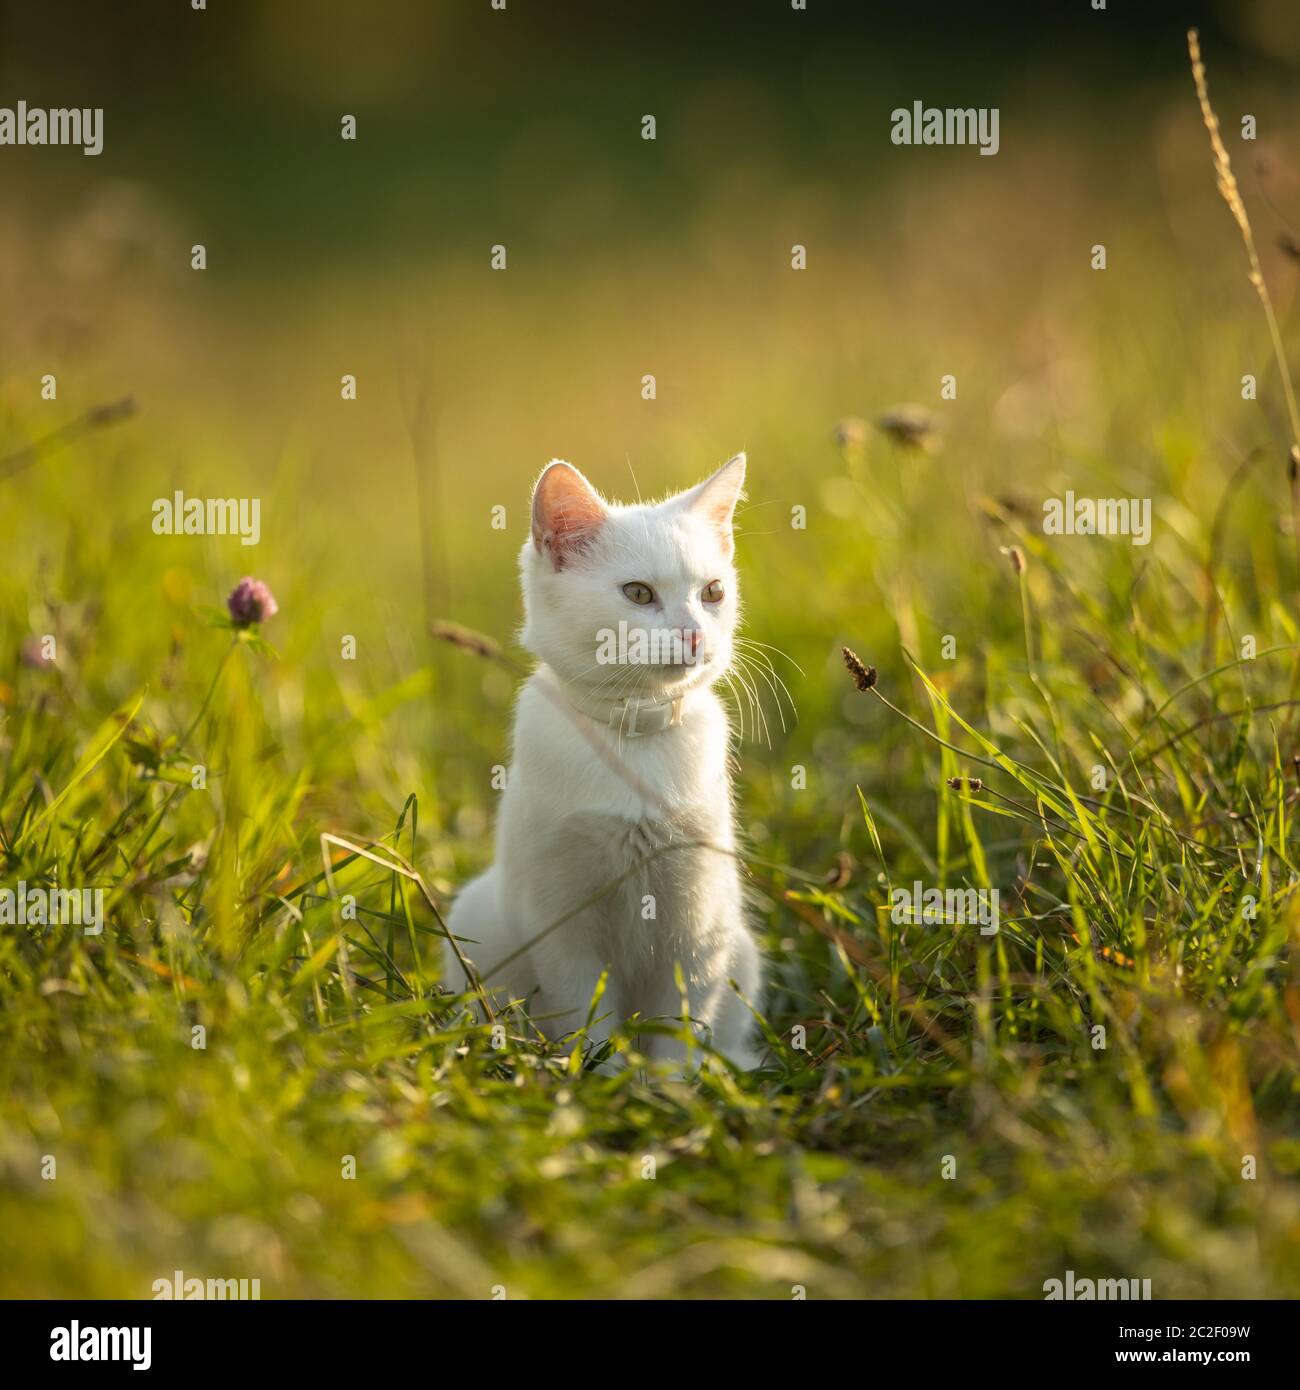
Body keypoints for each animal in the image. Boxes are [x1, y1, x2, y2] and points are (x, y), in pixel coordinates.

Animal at [447, 450, 761, 1067]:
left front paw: (671, 1084)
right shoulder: (561, 922)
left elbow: (679, 1020)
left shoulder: (700, 924)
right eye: (638, 594)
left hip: (739, 944)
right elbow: (584, 1014)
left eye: (713, 592)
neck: (636, 736)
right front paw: (600, 1074)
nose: (693, 635)